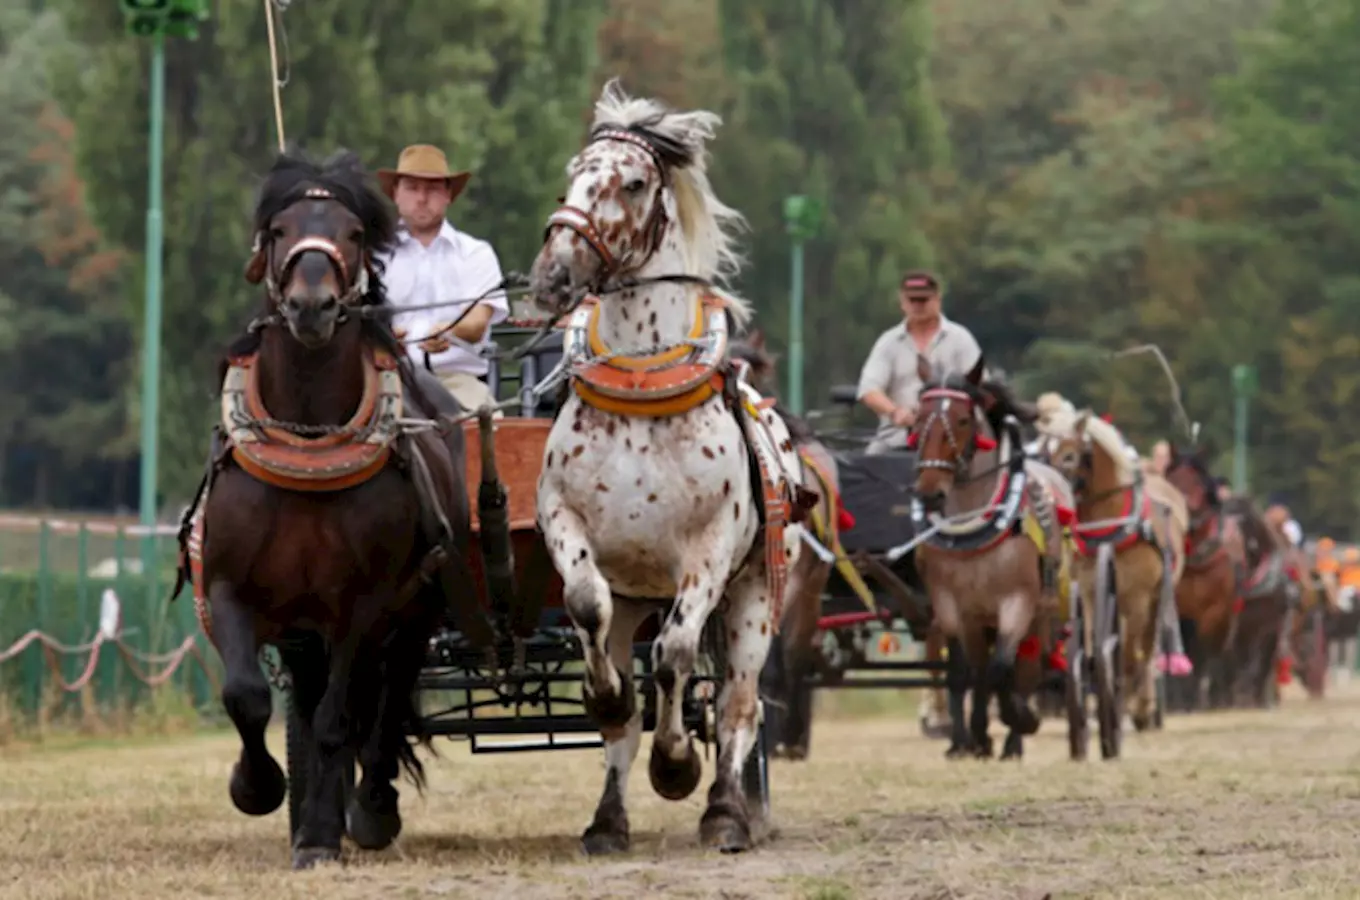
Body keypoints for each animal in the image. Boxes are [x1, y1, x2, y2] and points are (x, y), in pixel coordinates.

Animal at [524, 81, 810, 859]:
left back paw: (727, 813)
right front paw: (606, 696)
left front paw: (677, 763)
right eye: (573, 172)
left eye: (632, 183)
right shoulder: (567, 524)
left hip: (754, 598)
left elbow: (678, 655)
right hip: (635, 600)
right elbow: (589, 617)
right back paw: (607, 819)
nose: (553, 275)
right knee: (622, 703)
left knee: (739, 704)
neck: (641, 386)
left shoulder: (708, 552)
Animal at [903, 356, 1071, 755]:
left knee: (1026, 666)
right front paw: (971, 738)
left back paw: (1014, 737)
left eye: (964, 420)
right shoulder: (952, 607)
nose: (929, 493)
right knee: (983, 667)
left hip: (1044, 610)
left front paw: (1020, 718)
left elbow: (1002, 669)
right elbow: (965, 672)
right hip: (979, 619)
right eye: (918, 419)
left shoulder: (1018, 602)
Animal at [1033, 394, 1185, 745]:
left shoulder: (1138, 597)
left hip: (1154, 599)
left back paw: (1141, 705)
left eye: (1070, 455)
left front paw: (1127, 708)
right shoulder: (1088, 593)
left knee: (1146, 647)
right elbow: (1089, 648)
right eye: (1043, 452)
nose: (1046, 496)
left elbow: (1130, 655)